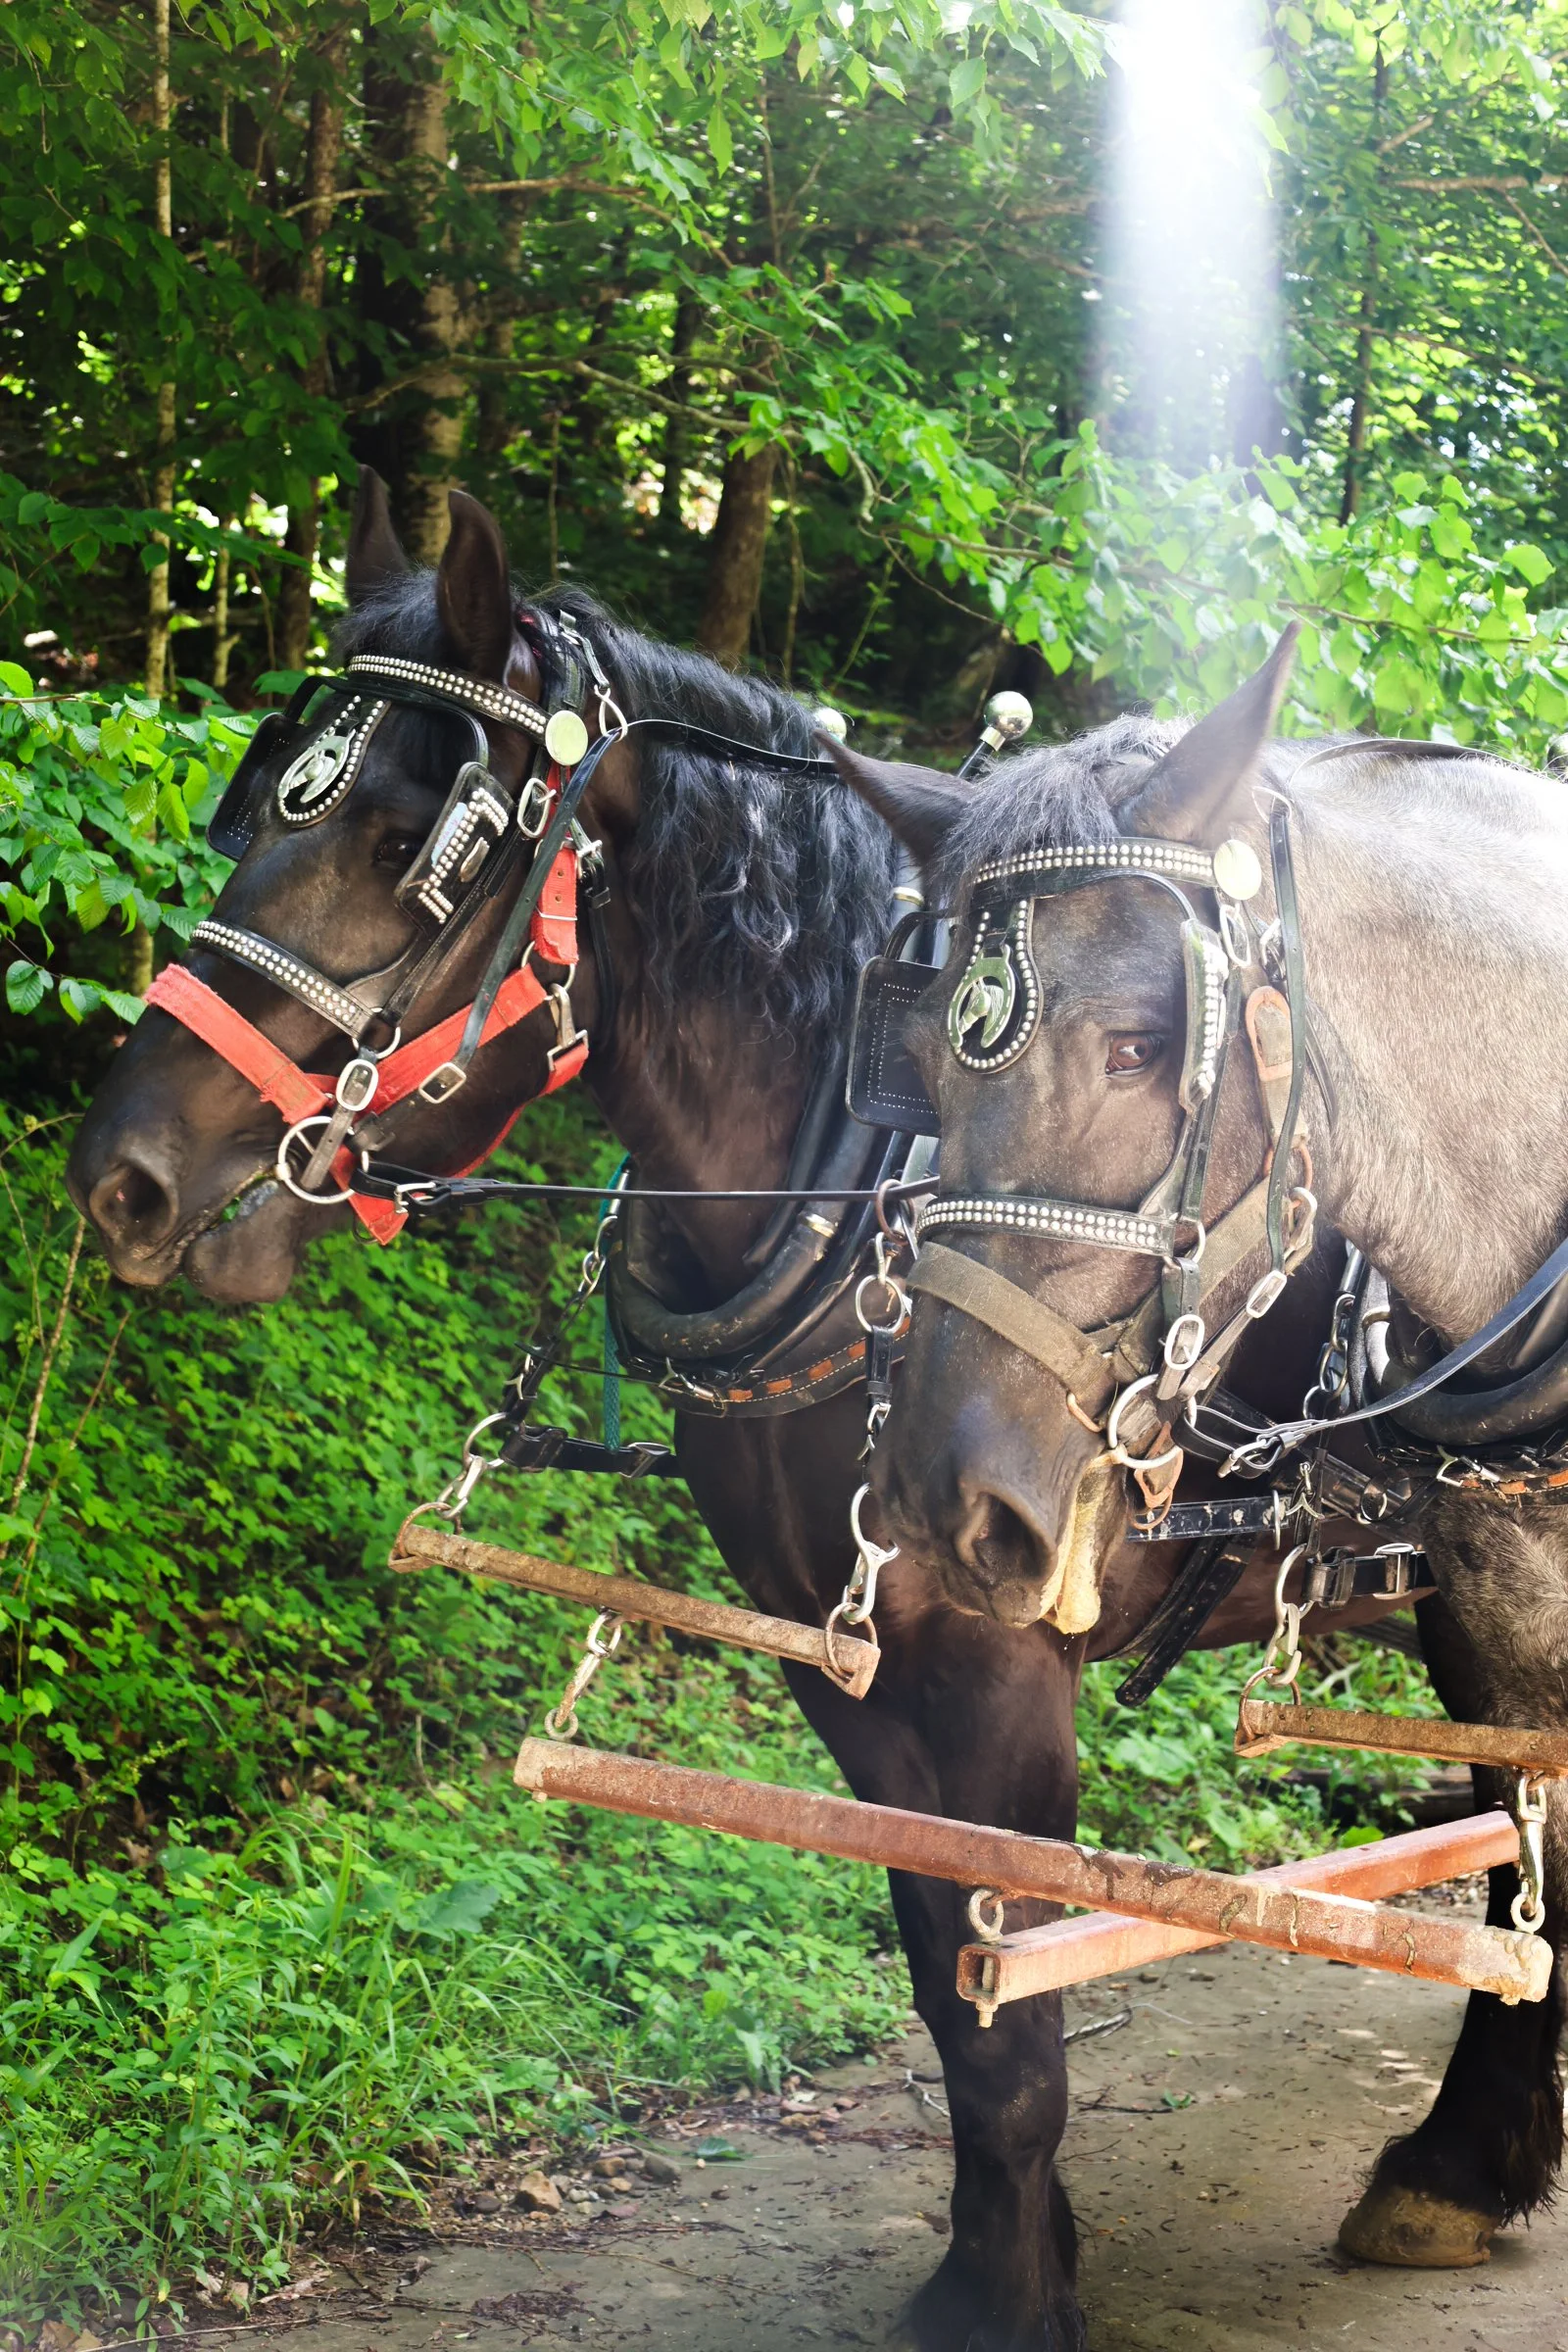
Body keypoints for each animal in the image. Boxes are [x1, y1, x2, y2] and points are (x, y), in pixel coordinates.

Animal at [70, 482, 1393, 2351]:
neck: (859, 1185)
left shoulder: (1002, 1658)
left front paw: (1013, 2296)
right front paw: (996, 2260)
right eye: (255, 799)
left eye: (410, 838)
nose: (116, 1178)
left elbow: (1017, 1993)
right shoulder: (837, 1662)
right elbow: (951, 1988)